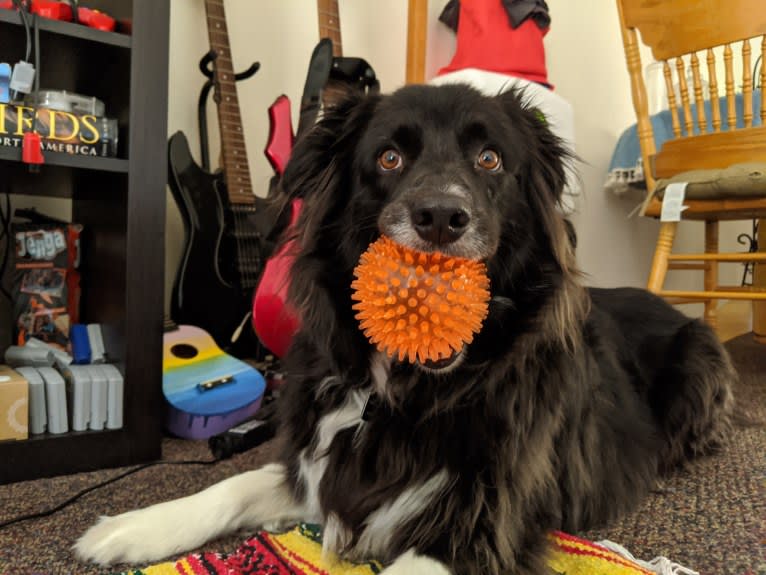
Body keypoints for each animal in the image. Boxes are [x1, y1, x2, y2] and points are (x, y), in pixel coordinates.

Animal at [73, 83, 736, 572]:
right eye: (389, 158)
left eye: (490, 159)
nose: (441, 216)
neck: (407, 389)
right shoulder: (322, 461)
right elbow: (233, 486)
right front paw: (131, 527)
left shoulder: (481, 524)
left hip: (700, 362)